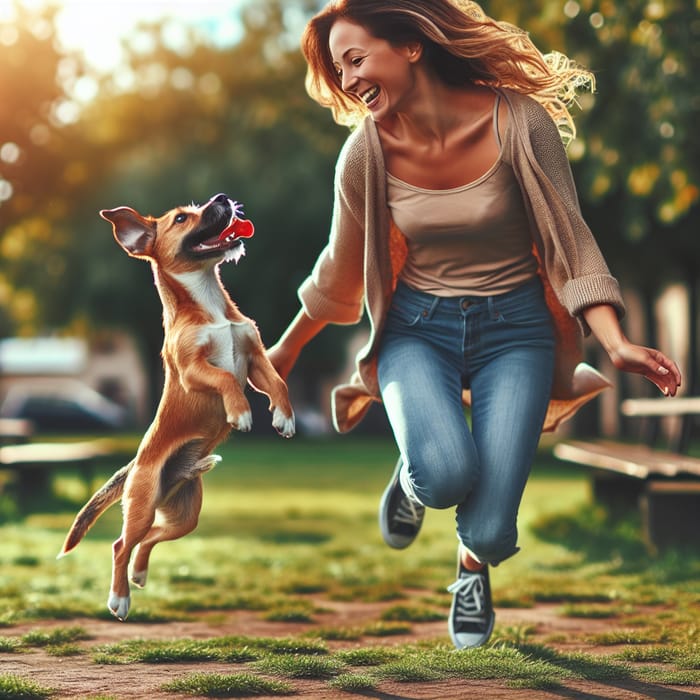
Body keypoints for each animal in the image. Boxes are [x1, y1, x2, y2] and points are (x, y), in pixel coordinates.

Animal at [56, 191, 292, 616]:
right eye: (182, 218)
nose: (222, 197)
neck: (209, 302)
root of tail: (137, 466)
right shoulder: (192, 370)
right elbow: (224, 379)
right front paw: (241, 413)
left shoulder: (255, 358)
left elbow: (277, 382)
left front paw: (285, 418)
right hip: (143, 504)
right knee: (122, 544)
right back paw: (119, 598)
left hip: (185, 516)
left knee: (150, 538)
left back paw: (140, 573)